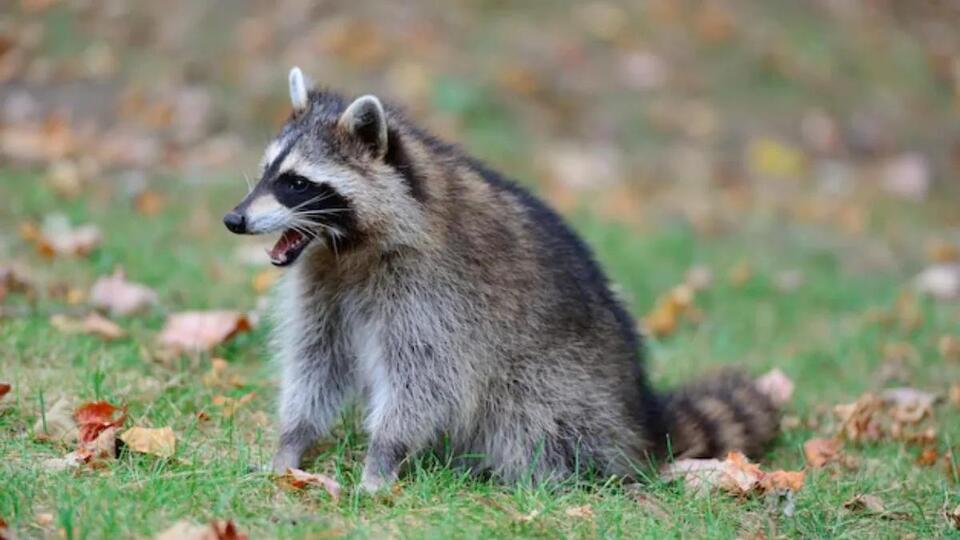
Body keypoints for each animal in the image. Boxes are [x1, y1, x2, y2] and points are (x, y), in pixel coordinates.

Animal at [223, 67, 780, 492]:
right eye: (267, 171)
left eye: (297, 183)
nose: (234, 219)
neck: (348, 247)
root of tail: (638, 421)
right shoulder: (325, 280)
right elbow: (319, 358)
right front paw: (292, 441)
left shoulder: (432, 291)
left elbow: (425, 380)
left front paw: (383, 457)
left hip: (564, 384)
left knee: (530, 417)